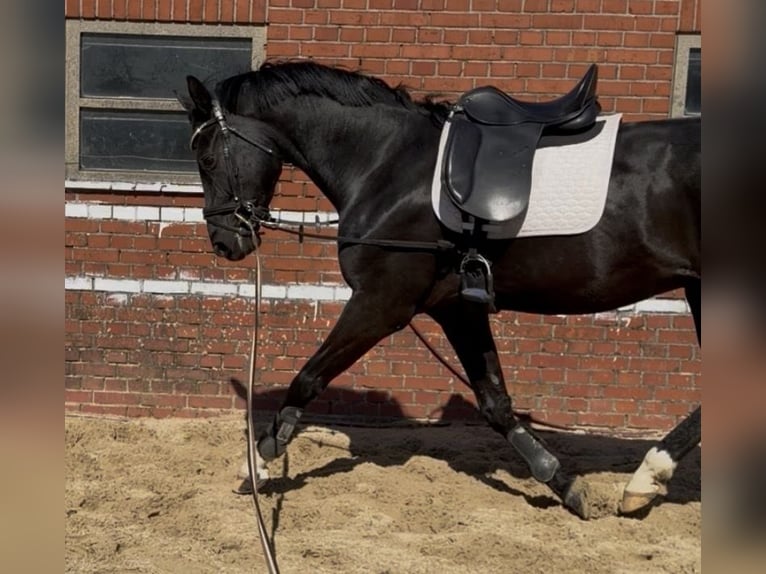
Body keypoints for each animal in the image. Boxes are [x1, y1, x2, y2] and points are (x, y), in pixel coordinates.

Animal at [178, 61, 701, 519]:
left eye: (207, 158)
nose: (225, 242)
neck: (388, 164)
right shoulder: (456, 308)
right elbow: (495, 403)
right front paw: (563, 482)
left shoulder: (381, 303)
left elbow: (307, 378)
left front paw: (258, 462)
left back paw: (645, 478)